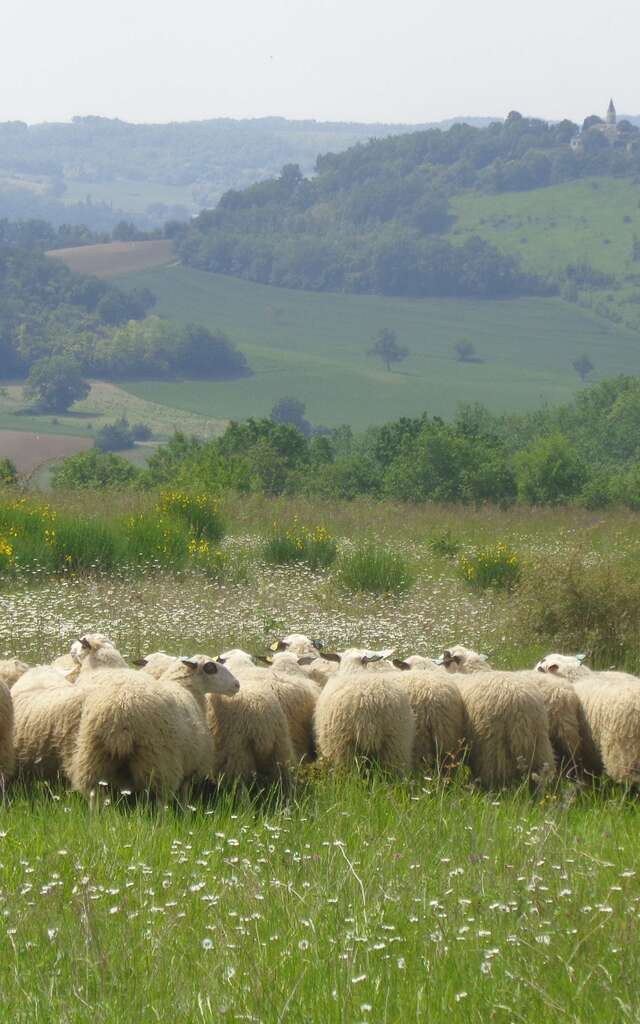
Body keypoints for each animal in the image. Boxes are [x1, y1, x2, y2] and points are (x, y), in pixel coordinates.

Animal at [68, 651, 239, 802]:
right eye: (211, 668)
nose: (237, 685)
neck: (185, 688)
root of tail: (119, 713)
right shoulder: (191, 760)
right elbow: (184, 794)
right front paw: (186, 811)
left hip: (94, 758)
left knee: (94, 796)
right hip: (159, 760)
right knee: (159, 802)